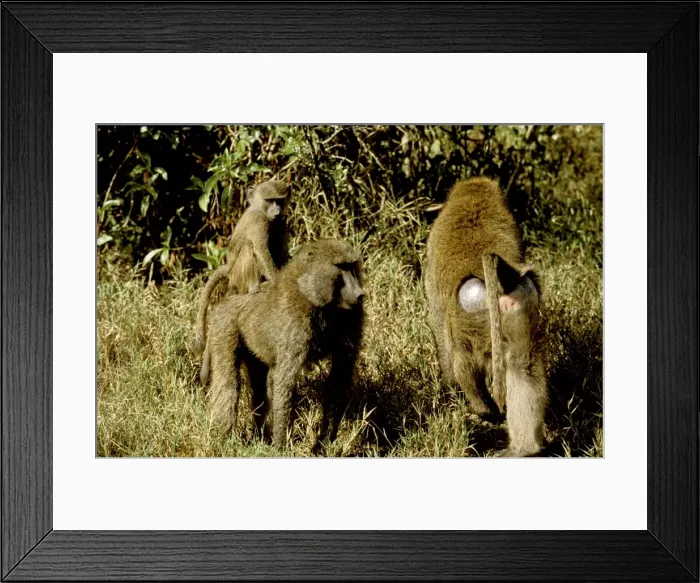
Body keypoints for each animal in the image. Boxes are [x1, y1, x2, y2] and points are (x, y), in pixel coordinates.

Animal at [195, 179, 289, 383]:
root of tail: (230, 271)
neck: (260, 210)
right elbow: (260, 249)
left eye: (279, 200)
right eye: (269, 200)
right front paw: (277, 283)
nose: (277, 212)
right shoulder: (259, 221)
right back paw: (255, 287)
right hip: (239, 274)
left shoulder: (281, 223)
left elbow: (282, 253)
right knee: (248, 246)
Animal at [205, 238, 365, 449]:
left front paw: (323, 446)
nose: (360, 294)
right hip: (223, 326)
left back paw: (261, 437)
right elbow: (285, 380)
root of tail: (228, 299)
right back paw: (223, 439)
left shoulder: (352, 316)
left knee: (261, 384)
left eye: (352, 266)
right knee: (229, 383)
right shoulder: (295, 320)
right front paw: (280, 446)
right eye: (341, 267)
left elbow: (339, 376)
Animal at [424, 177, 547, 457]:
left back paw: (484, 411)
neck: (474, 197)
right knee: (523, 366)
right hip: (519, 302)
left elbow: (441, 337)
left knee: (461, 357)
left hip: (469, 316)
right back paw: (525, 449)